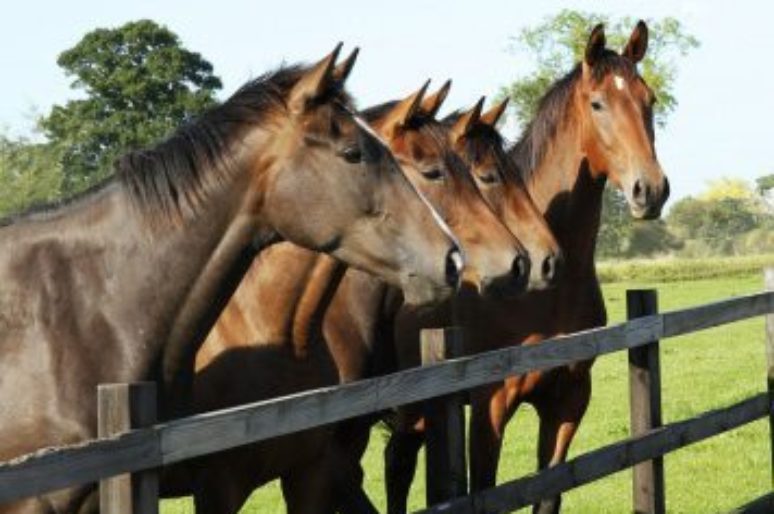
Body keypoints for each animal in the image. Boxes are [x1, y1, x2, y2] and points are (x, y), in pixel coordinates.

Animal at [388, 21, 672, 512]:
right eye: (597, 103)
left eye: (649, 98)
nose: (650, 190)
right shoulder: (491, 404)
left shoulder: (569, 398)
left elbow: (548, 492)